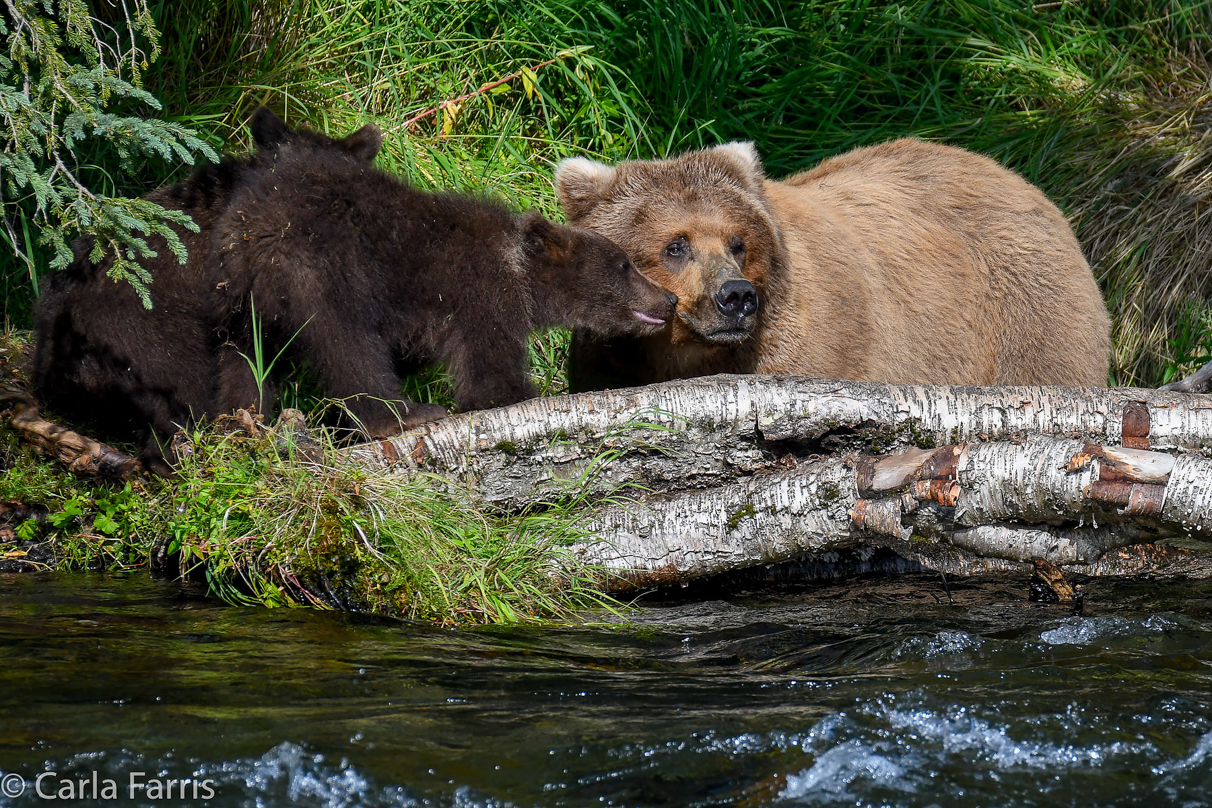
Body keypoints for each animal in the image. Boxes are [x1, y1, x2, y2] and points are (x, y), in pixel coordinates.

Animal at [555, 139, 1110, 392]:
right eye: (676, 245)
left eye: (738, 242)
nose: (736, 297)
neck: (686, 357)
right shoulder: (610, 363)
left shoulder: (816, 344)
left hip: (1024, 311)